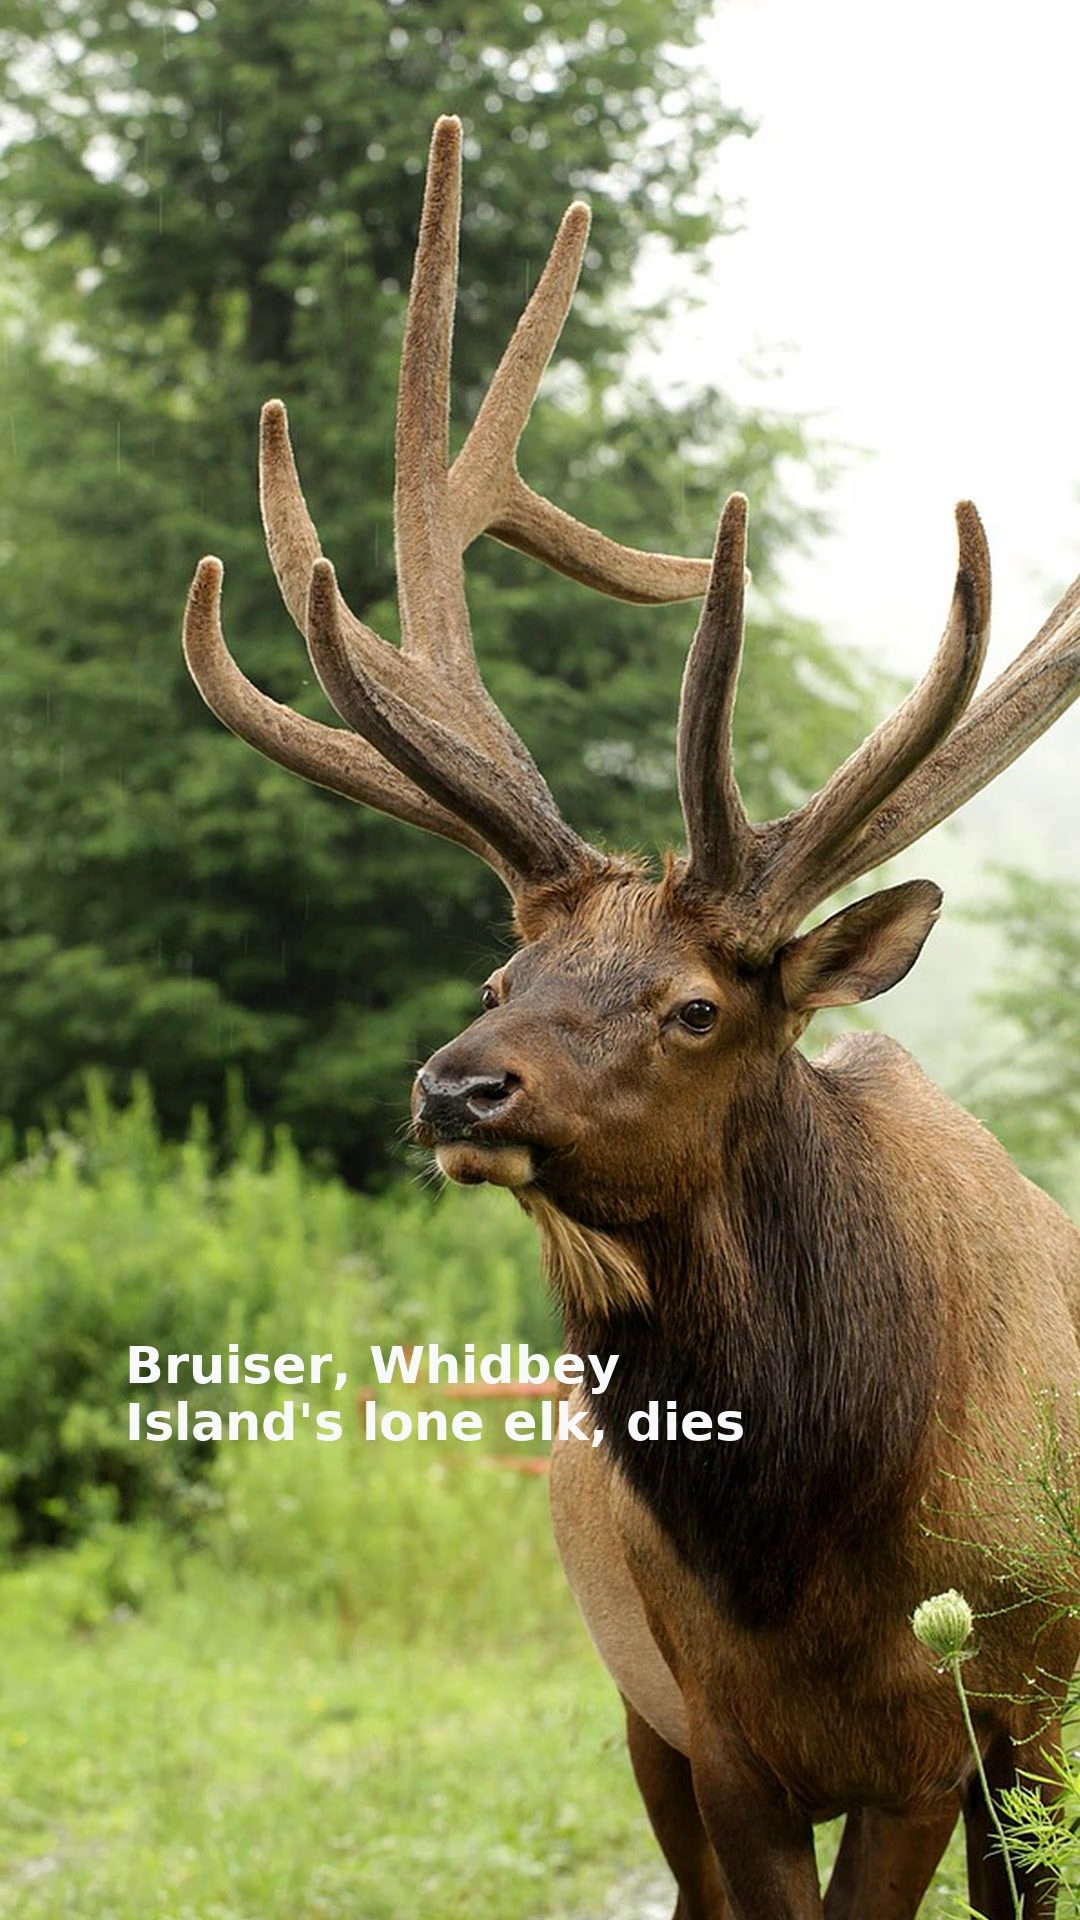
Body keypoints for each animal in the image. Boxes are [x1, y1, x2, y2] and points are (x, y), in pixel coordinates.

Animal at [182, 117, 1080, 1919]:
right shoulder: (712, 1729)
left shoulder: (940, 1741)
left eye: (692, 1007)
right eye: (500, 980)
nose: (457, 1091)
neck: (802, 1556)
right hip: (638, 1720)